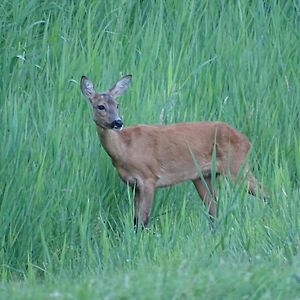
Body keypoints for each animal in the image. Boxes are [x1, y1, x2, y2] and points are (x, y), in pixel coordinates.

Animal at [79, 74, 264, 226]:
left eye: (117, 105)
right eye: (101, 106)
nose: (118, 122)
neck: (125, 149)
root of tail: (247, 140)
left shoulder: (149, 178)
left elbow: (143, 220)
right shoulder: (134, 185)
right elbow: (135, 219)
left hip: (237, 166)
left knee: (264, 193)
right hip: (203, 176)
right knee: (214, 210)